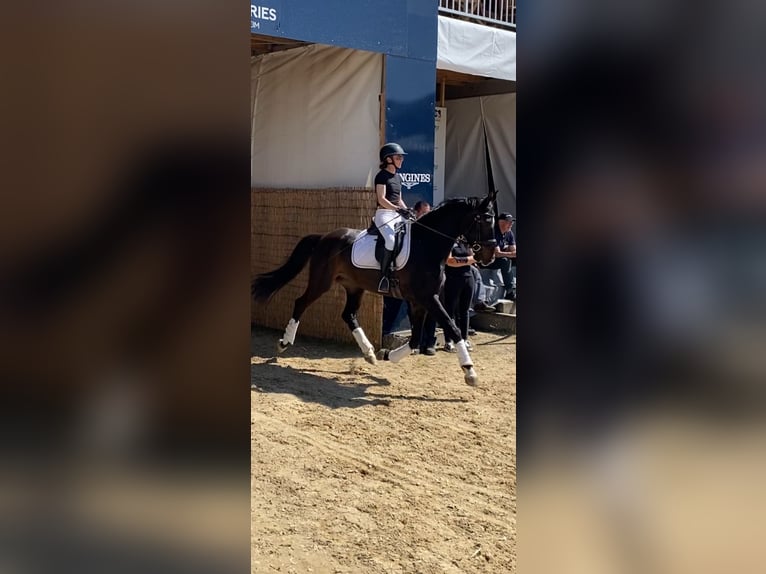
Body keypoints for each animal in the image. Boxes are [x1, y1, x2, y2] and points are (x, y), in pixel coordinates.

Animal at [251, 190, 499, 386]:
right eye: (485, 220)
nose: (490, 255)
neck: (427, 245)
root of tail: (324, 237)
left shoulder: (419, 301)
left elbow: (415, 338)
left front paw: (387, 354)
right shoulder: (429, 298)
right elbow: (452, 327)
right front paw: (470, 371)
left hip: (354, 286)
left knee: (348, 314)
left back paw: (369, 352)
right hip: (321, 282)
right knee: (301, 302)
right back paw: (284, 343)